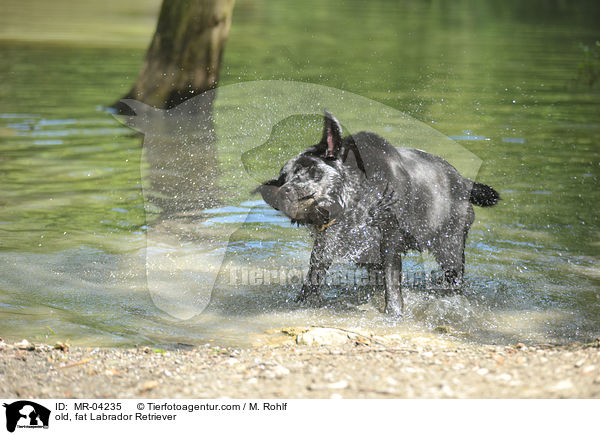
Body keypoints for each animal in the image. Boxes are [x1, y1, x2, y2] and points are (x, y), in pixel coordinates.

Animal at [260, 112, 500, 316]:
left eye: (308, 170)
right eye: (283, 178)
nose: (283, 191)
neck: (356, 200)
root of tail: (463, 181)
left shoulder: (389, 244)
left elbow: (392, 288)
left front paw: (394, 315)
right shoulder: (324, 248)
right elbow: (311, 280)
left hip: (450, 248)